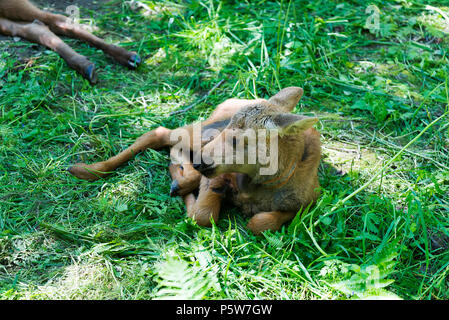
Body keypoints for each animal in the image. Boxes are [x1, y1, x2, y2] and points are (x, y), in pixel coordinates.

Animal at [68, 87, 320, 235]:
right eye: (228, 130)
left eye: (238, 140)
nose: (201, 162)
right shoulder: (216, 175)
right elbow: (202, 216)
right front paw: (189, 201)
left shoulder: (308, 201)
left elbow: (260, 222)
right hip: (202, 131)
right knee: (161, 133)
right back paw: (88, 170)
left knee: (173, 149)